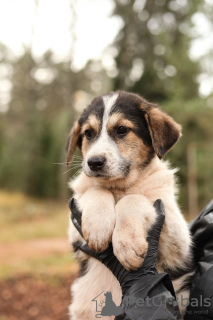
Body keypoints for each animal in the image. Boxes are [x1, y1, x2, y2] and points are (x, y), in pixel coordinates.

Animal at [67, 91, 194, 318]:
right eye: (88, 133)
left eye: (122, 130)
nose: (94, 162)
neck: (119, 188)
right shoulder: (74, 231)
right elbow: (97, 190)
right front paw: (98, 228)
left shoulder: (178, 236)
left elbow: (133, 199)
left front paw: (127, 246)